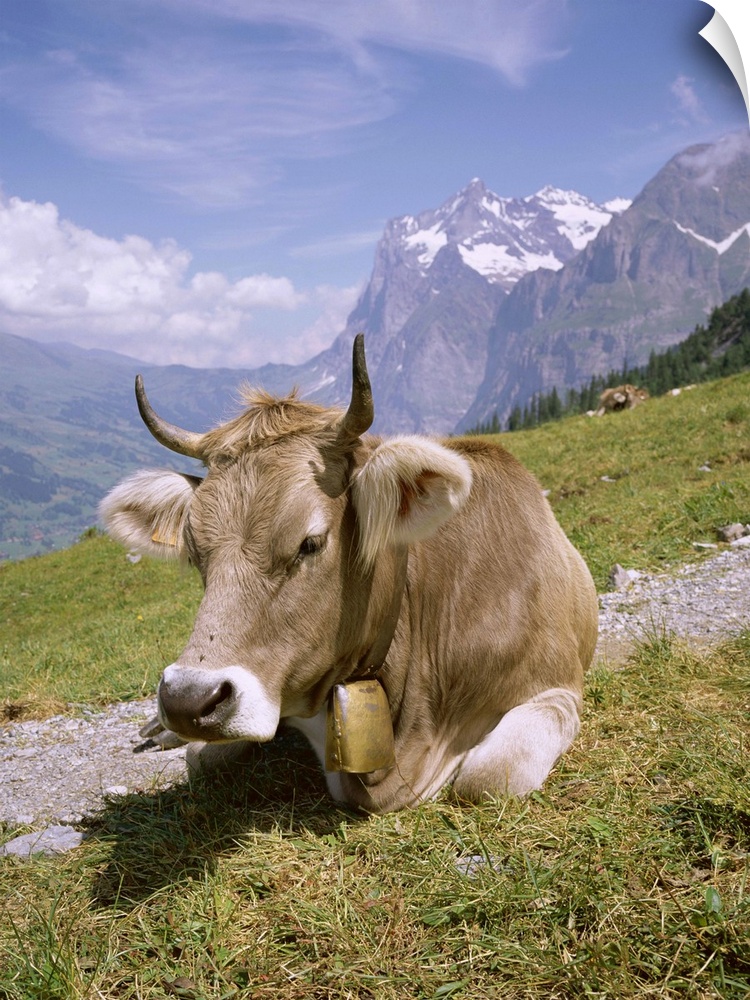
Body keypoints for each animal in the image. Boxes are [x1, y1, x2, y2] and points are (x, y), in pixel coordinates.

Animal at [100, 336, 600, 812]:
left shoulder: (556, 688)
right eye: (195, 552)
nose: (185, 699)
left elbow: (491, 776)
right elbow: (203, 759)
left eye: (310, 542)